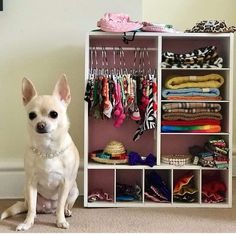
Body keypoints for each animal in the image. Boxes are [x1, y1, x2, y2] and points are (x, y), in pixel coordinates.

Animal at [0, 75, 80, 231]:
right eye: (32, 115)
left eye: (54, 114)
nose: (40, 124)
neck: (47, 149)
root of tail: (48, 209)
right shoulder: (31, 184)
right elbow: (31, 208)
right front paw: (27, 223)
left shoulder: (65, 184)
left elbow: (61, 205)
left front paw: (60, 221)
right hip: (26, 190)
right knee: (31, 207)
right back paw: (34, 216)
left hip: (74, 190)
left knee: (62, 206)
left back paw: (66, 212)